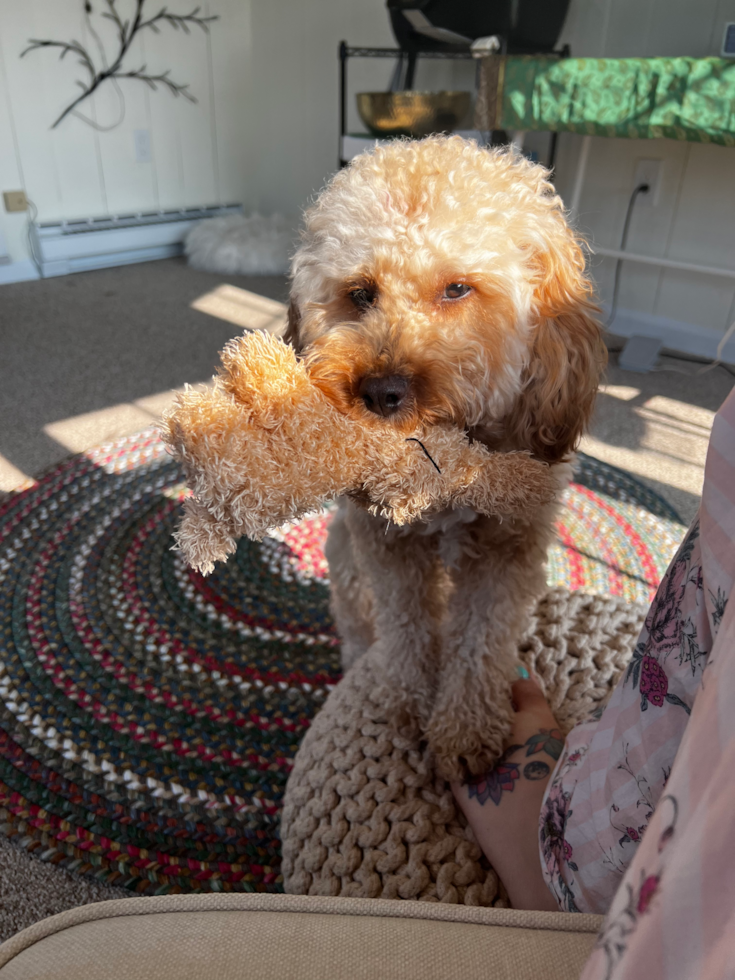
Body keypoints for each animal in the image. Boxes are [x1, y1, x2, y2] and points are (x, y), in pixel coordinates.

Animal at [282, 138, 604, 780]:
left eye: (458, 289)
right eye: (360, 293)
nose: (381, 391)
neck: (443, 462)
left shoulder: (508, 550)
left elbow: (481, 640)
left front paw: (465, 728)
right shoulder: (385, 544)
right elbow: (406, 628)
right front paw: (407, 706)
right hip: (345, 555)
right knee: (359, 621)